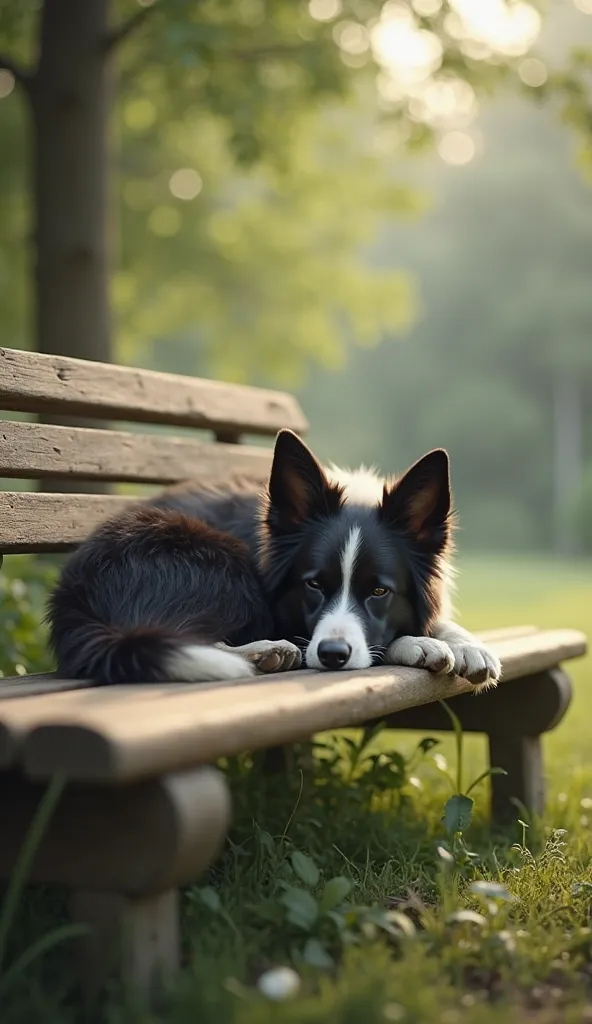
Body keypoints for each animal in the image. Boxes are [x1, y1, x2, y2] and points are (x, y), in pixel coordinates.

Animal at [48, 428, 497, 692]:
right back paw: (263, 653)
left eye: (379, 591)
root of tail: (73, 591)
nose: (333, 655)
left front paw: (468, 645)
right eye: (313, 584)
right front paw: (420, 643)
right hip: (219, 563)